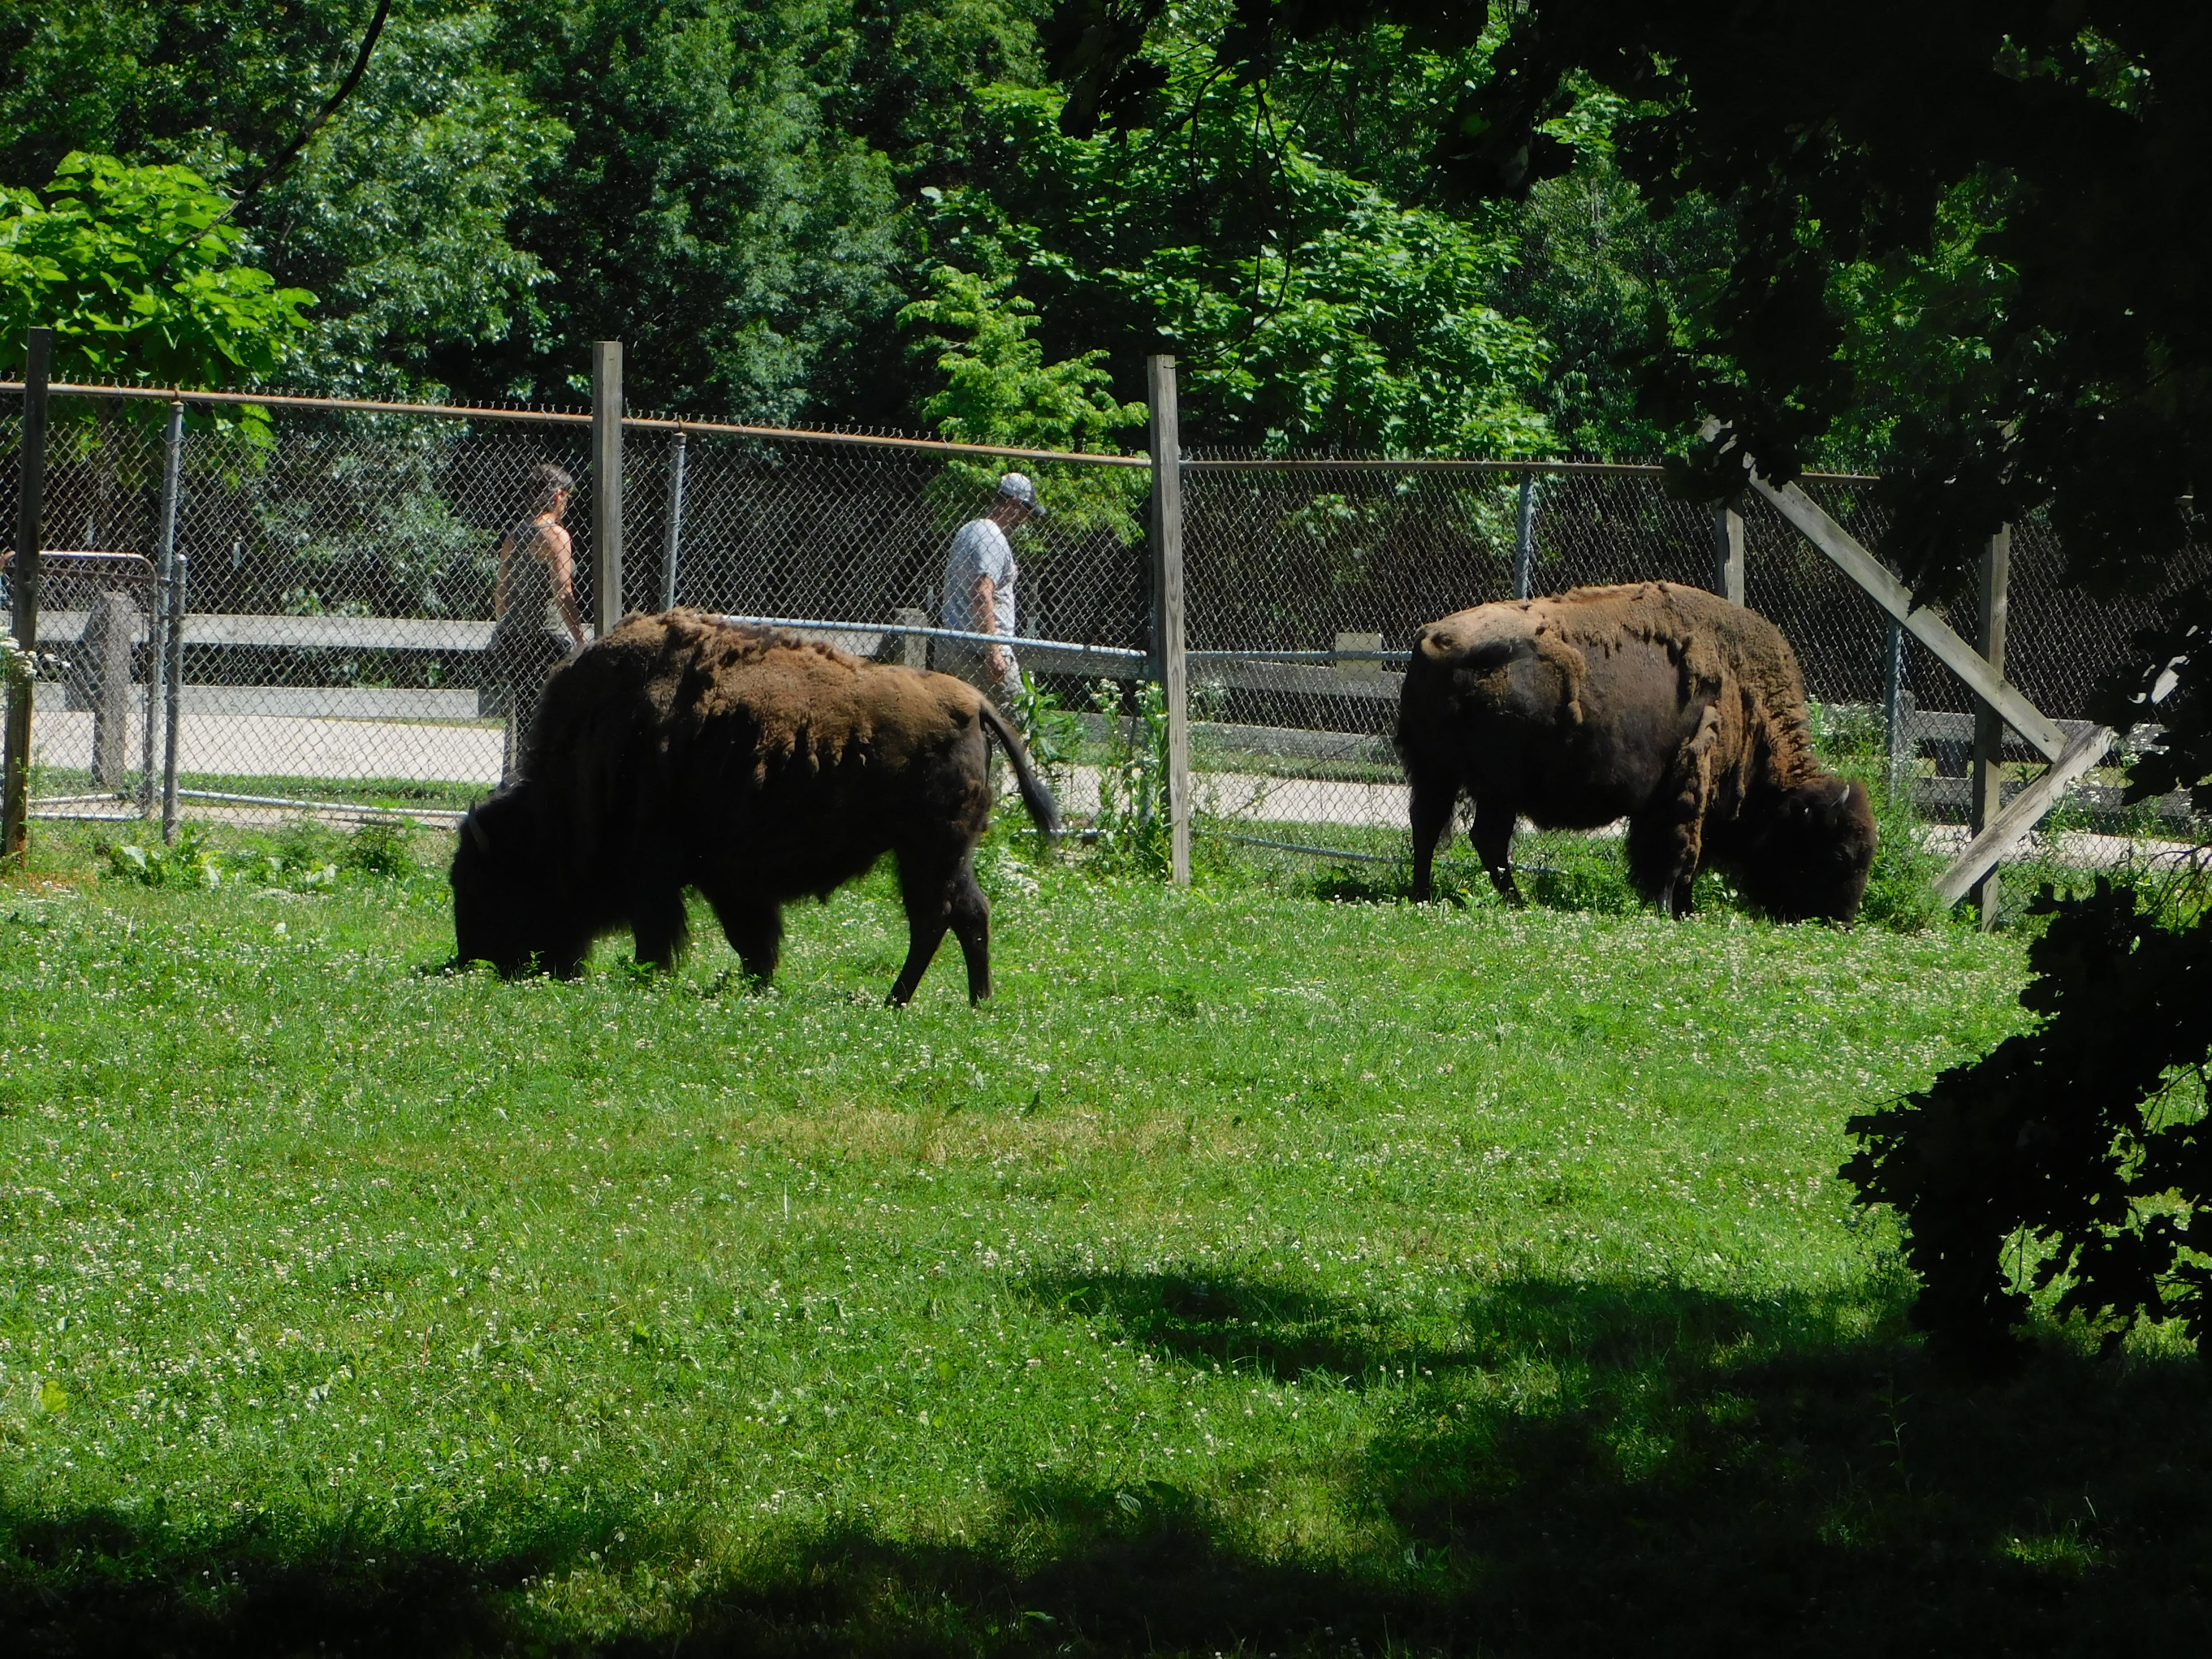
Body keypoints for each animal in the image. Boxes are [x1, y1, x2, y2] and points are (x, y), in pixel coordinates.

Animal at [451, 606, 1062, 1000]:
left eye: (483, 883)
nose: (474, 959)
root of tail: (973, 703)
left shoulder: (660, 872)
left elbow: (665, 931)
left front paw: (654, 975)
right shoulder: (727, 879)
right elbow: (751, 934)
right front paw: (756, 980)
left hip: (926, 854)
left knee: (934, 919)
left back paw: (900, 997)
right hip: (946, 855)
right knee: (970, 913)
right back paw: (975, 999)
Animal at [1398, 584, 1867, 925]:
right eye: (1839, 855)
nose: (1843, 922)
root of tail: (1431, 639)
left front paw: (1683, 911)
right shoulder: (1685, 789)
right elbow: (1679, 854)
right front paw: (1669, 910)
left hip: (1440, 774)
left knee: (1432, 828)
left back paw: (1426, 895)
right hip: (1494, 786)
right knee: (1482, 838)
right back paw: (1511, 901)